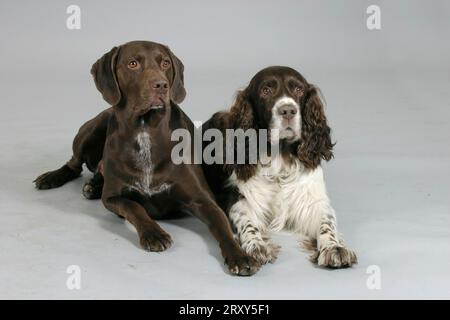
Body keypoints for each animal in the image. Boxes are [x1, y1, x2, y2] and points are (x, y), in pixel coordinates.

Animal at [34, 40, 260, 276]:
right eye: (133, 63)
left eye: (165, 63)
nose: (161, 85)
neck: (145, 131)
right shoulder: (113, 197)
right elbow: (136, 208)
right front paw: (154, 233)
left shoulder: (204, 200)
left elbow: (222, 227)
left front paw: (239, 255)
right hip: (92, 129)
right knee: (74, 165)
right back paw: (52, 178)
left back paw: (93, 185)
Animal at [202, 65, 356, 268]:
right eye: (266, 90)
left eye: (298, 89)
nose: (288, 111)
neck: (280, 158)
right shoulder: (236, 199)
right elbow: (246, 221)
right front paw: (256, 245)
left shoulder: (312, 201)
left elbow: (327, 222)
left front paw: (334, 247)